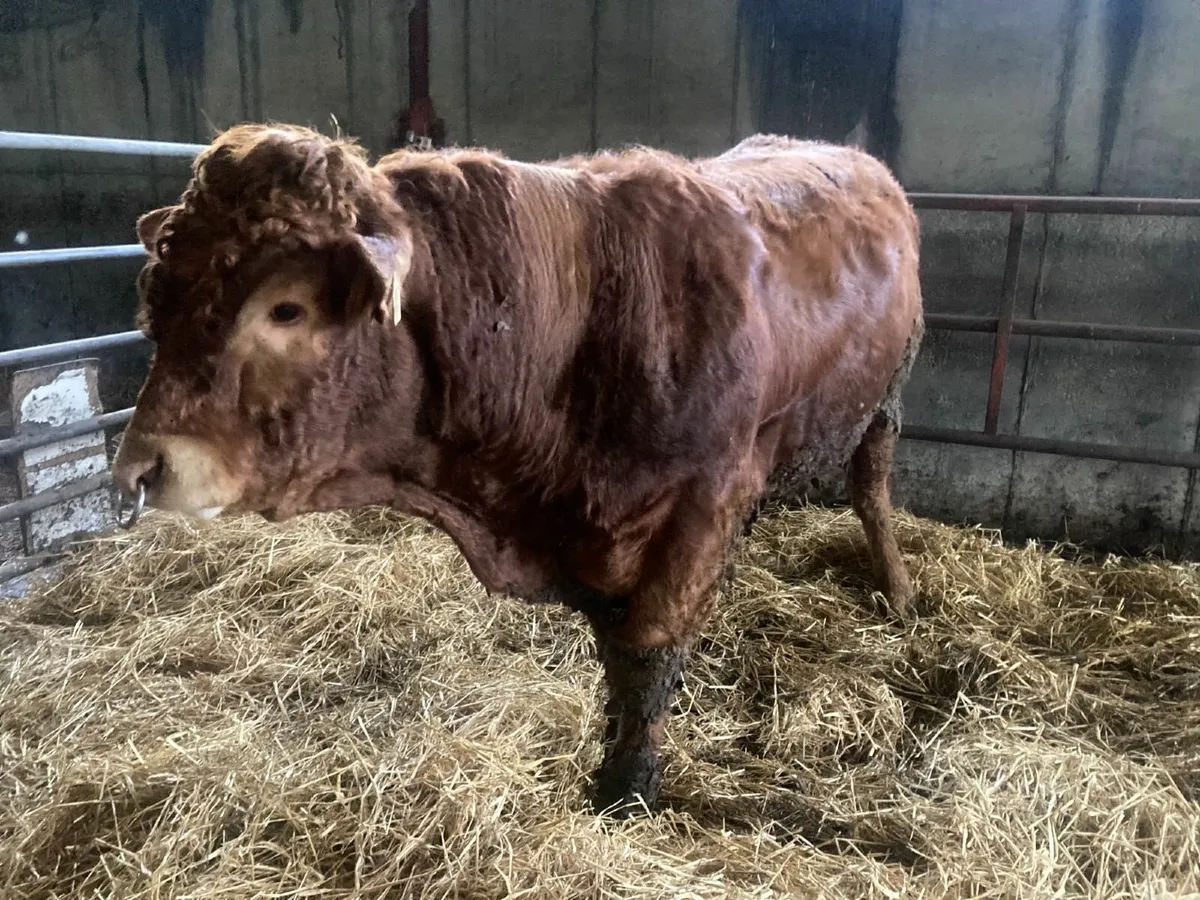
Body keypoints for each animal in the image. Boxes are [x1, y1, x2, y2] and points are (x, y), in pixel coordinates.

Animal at [111, 124, 924, 817]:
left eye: (285, 308)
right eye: (159, 302)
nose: (142, 468)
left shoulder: (702, 504)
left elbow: (648, 660)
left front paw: (628, 788)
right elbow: (617, 663)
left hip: (884, 403)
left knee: (871, 493)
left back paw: (900, 592)